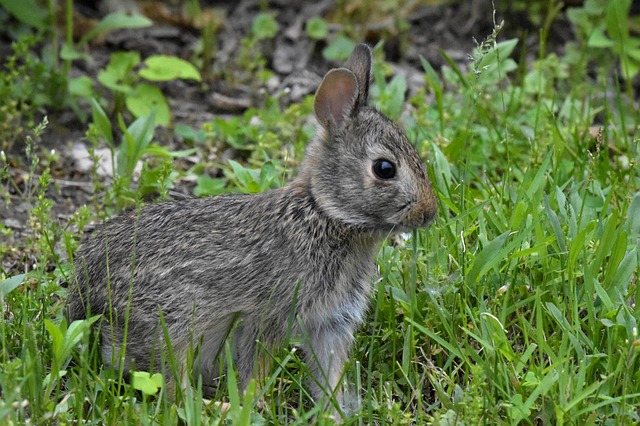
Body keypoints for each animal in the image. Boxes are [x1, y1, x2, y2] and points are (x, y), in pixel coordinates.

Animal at [67, 45, 438, 414]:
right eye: (384, 168)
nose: (429, 212)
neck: (326, 214)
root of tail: (86, 292)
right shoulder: (267, 315)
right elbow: (254, 370)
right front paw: (250, 406)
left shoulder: (330, 322)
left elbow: (329, 373)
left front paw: (333, 413)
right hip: (170, 326)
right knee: (171, 386)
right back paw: (215, 407)